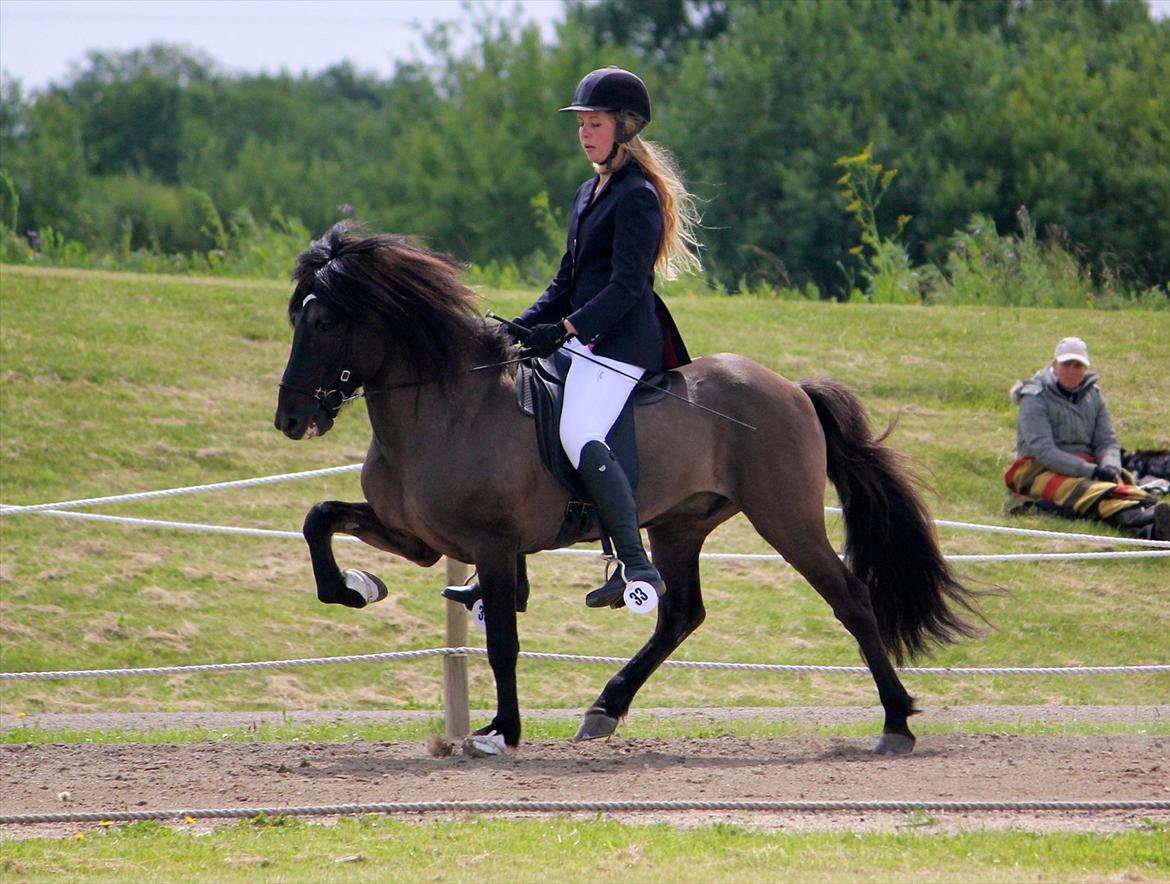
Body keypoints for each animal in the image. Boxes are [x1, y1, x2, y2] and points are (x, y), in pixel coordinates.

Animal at [271, 222, 978, 753]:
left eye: (326, 324)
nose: (290, 419)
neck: (445, 406)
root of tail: (791, 388)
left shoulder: (494, 548)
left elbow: (503, 642)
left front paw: (502, 732)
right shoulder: (418, 539)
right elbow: (319, 516)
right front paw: (355, 587)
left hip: (785, 518)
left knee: (850, 599)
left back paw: (896, 723)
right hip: (678, 523)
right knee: (681, 613)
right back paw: (604, 708)